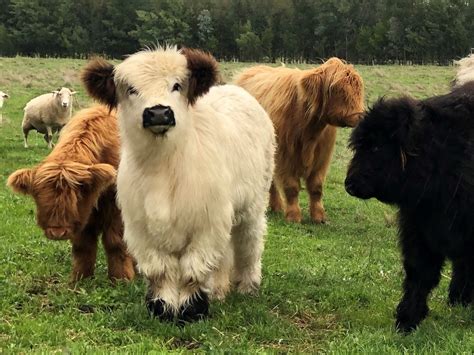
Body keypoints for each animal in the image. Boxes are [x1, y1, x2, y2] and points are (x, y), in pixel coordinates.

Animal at [81, 47, 274, 326]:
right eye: (130, 89)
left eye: (177, 85)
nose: (159, 113)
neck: (164, 167)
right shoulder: (142, 229)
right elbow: (161, 271)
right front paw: (161, 308)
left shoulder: (206, 226)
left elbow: (194, 269)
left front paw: (192, 310)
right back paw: (218, 290)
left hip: (253, 205)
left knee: (249, 242)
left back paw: (248, 286)